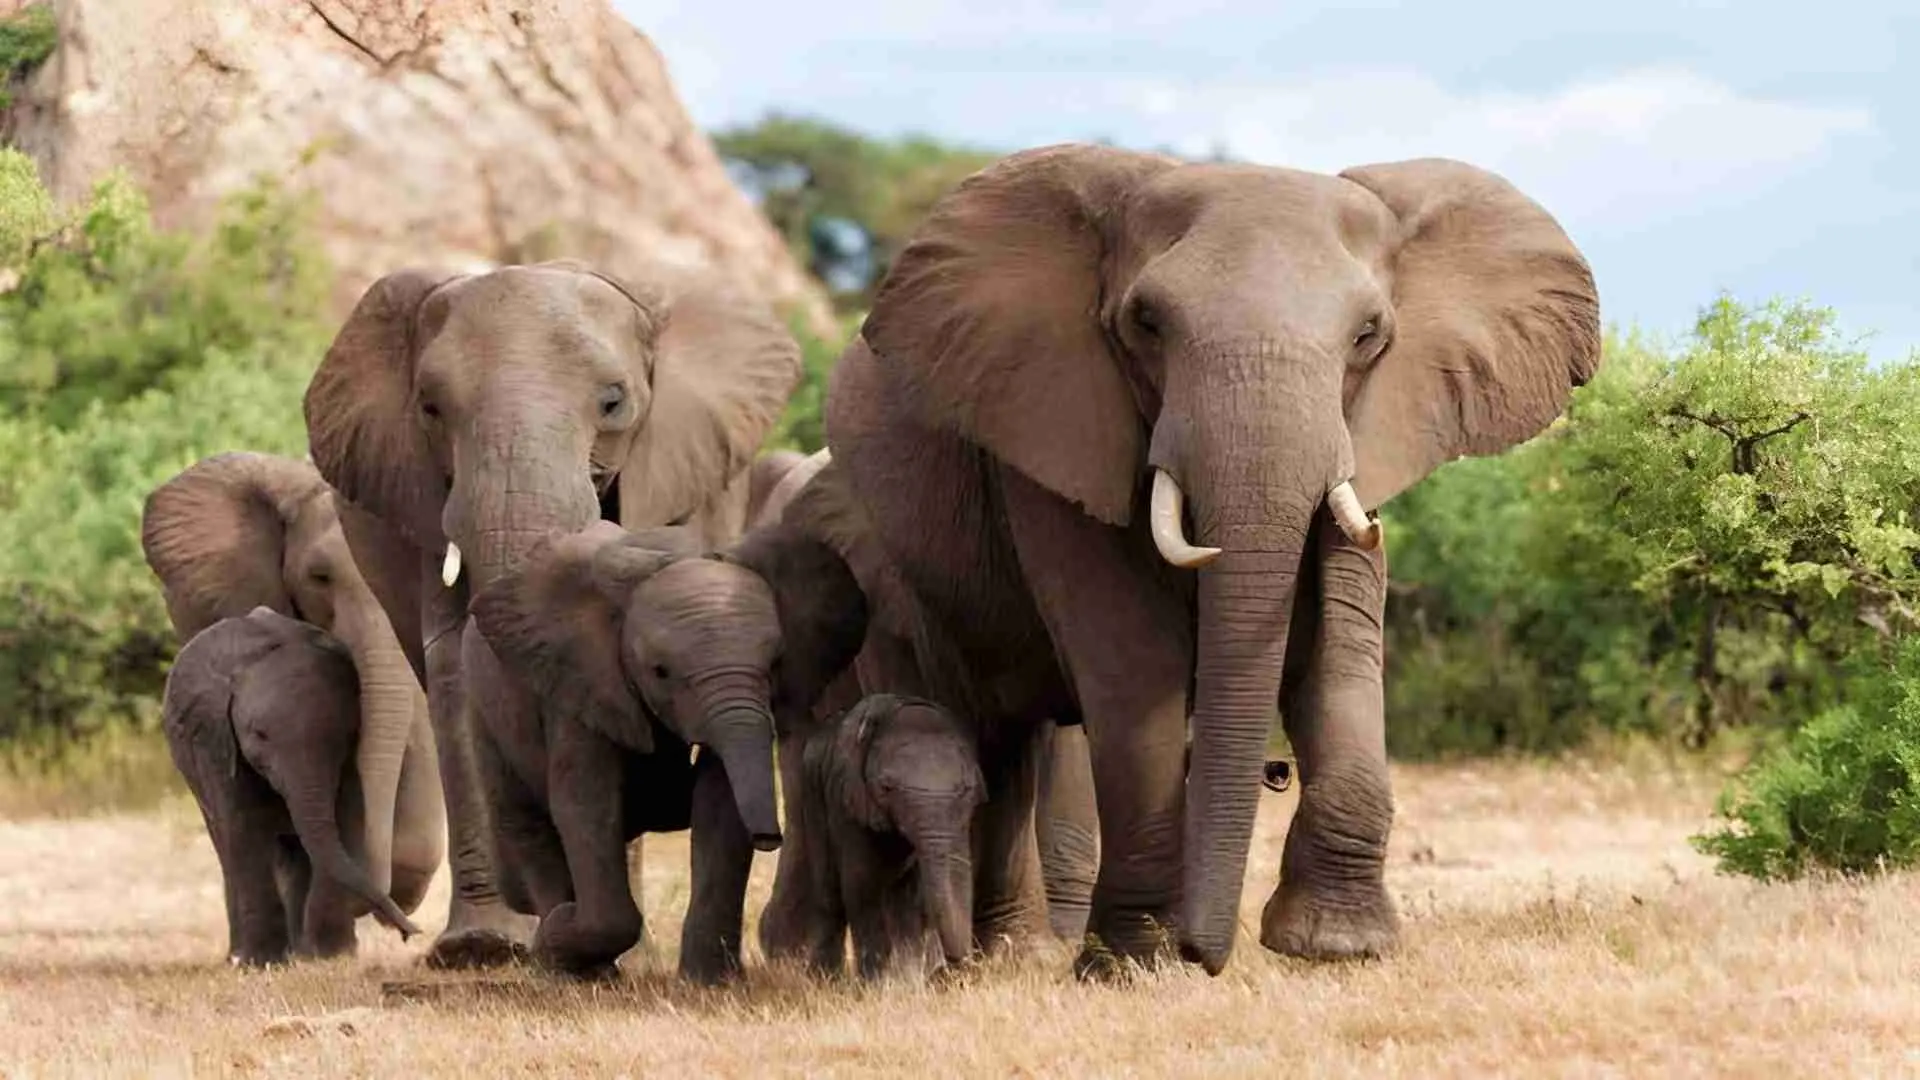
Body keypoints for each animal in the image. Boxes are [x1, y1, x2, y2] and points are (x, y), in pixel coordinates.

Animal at [162, 607, 423, 965]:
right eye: (259, 735)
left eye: (343, 736)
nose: (412, 933)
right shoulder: (213, 738)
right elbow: (243, 825)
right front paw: (261, 963)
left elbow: (341, 821)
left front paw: (330, 956)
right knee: (229, 845)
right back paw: (243, 956)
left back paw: (300, 953)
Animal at [466, 520, 868, 980]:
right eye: (660, 672)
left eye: (775, 665)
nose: (770, 838)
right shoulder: (582, 685)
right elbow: (585, 806)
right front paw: (559, 935)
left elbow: (720, 805)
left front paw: (711, 982)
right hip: (485, 708)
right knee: (526, 823)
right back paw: (565, 954)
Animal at [767, 693, 984, 980]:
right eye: (887, 787)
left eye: (966, 789)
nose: (955, 969)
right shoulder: (847, 801)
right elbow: (862, 884)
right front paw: (877, 984)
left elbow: (936, 885)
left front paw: (911, 981)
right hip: (812, 792)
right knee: (830, 892)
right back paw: (824, 979)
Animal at [802, 144, 1600, 975]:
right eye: (1146, 324)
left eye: (1368, 335)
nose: (1205, 953)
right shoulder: (1052, 425)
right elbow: (1132, 660)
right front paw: (1134, 964)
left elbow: (1339, 650)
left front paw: (1334, 946)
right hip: (894, 567)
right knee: (974, 728)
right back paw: (968, 963)